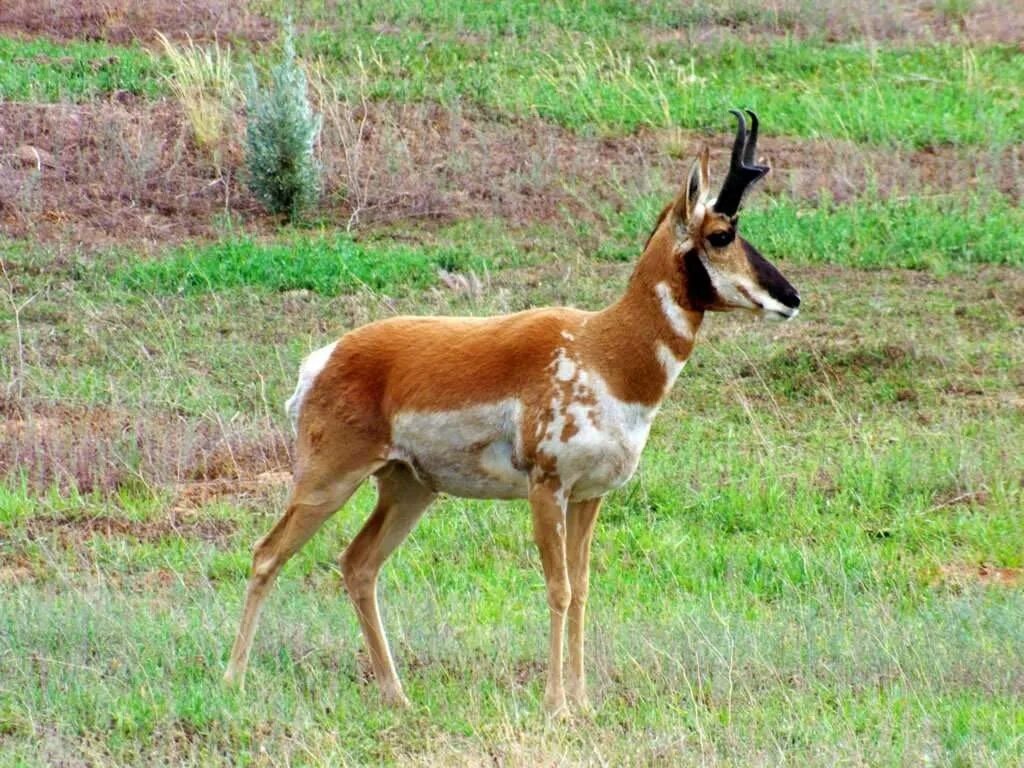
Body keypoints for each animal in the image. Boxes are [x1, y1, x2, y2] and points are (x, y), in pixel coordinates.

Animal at [224, 109, 798, 716]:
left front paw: (583, 702)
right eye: (721, 234)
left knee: (358, 565)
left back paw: (397, 695)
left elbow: (583, 587)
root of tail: (326, 357)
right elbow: (558, 588)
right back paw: (233, 680)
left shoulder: (589, 497)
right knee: (267, 553)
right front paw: (555, 705)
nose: (791, 298)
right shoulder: (547, 489)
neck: (603, 350)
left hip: (408, 487)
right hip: (327, 481)